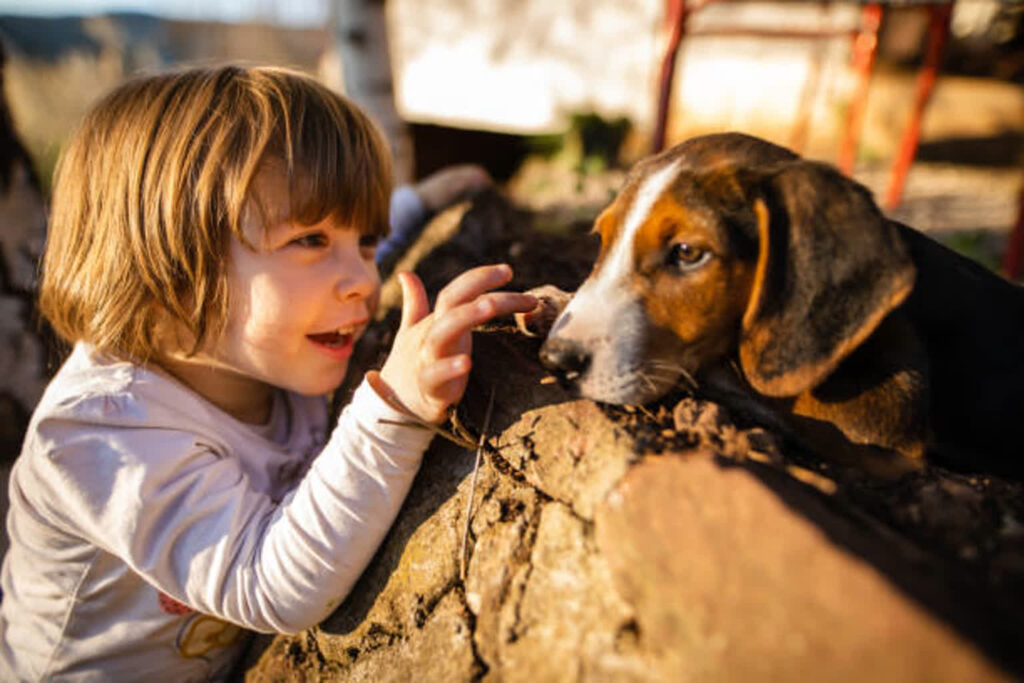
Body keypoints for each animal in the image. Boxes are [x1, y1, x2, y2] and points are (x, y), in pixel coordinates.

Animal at [536, 133, 1024, 481]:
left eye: (688, 253)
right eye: (601, 240)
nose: (557, 360)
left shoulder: (886, 424)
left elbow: (754, 386)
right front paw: (552, 299)